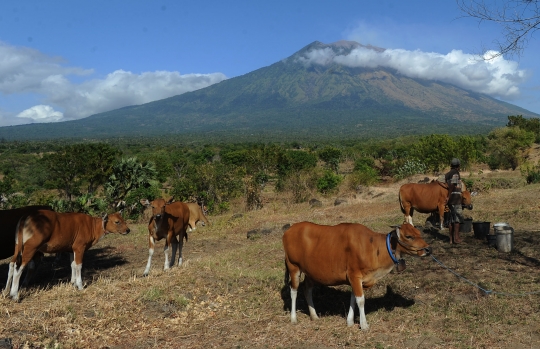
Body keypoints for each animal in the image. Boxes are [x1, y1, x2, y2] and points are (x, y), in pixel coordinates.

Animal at [282, 222, 430, 328]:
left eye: (418, 232)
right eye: (409, 236)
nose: (428, 249)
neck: (373, 247)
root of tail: (289, 230)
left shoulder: (356, 279)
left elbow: (353, 298)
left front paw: (350, 321)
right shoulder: (354, 275)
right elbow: (361, 300)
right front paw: (364, 325)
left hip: (310, 272)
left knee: (307, 289)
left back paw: (314, 315)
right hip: (293, 267)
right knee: (293, 290)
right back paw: (293, 318)